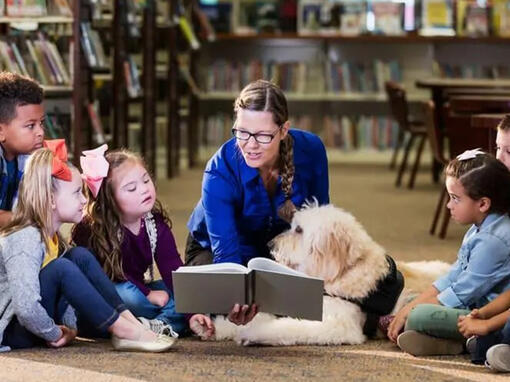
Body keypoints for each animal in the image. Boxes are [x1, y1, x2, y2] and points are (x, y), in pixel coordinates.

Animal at [201, 204, 448, 344]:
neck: (343, 273)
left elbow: (287, 327)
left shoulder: (337, 325)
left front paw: (251, 332)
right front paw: (213, 327)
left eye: (299, 230)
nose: (270, 244)